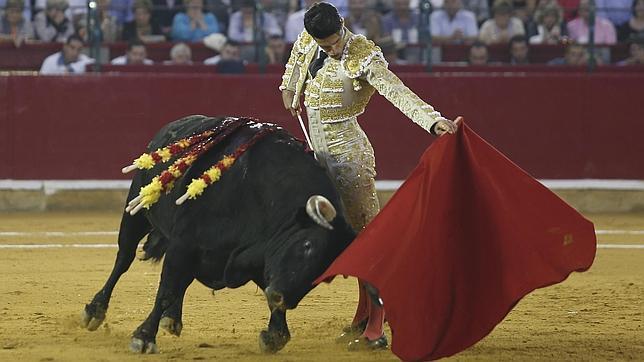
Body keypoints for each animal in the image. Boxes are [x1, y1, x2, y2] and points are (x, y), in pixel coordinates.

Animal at [79, 116, 358, 354]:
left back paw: (173, 318)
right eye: (307, 245)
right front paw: (144, 337)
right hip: (136, 214)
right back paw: (95, 311)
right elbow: (166, 289)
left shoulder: (253, 255)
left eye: (326, 276)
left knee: (182, 280)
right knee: (124, 260)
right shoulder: (184, 244)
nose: (282, 298)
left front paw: (274, 336)